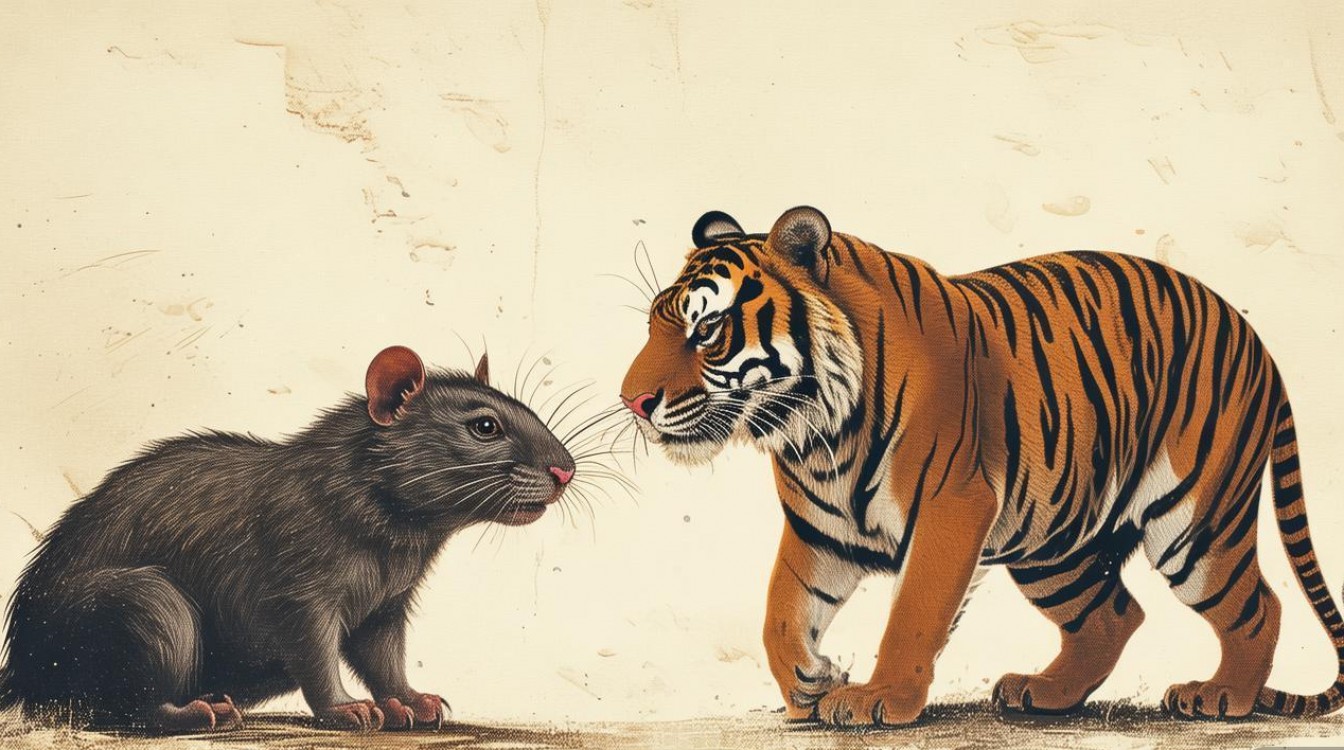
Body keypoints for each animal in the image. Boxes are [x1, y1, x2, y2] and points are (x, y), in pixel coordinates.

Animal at [619, 205, 1344, 726]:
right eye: (655, 326)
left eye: (706, 330)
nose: (632, 402)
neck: (814, 431)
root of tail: (1255, 339)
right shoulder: (819, 531)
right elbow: (780, 612)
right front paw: (808, 682)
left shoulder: (950, 509)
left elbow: (913, 611)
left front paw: (878, 700)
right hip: (1054, 544)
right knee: (1113, 615)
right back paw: (1043, 692)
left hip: (1193, 525)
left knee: (1259, 608)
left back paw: (1222, 697)